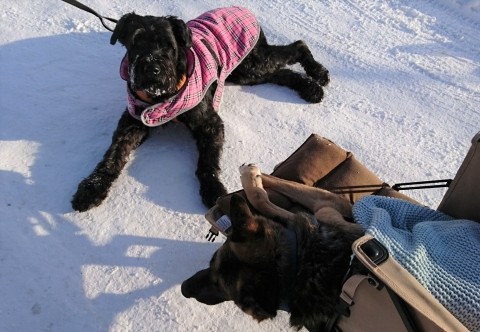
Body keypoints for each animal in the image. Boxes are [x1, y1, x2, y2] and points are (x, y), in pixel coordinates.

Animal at [71, 7, 330, 211]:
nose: (152, 69)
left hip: (254, 63)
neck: (162, 96)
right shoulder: (133, 121)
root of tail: (245, 10)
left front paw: (213, 189)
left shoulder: (209, 123)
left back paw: (317, 75)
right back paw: (310, 88)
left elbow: (207, 162)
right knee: (283, 73)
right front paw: (92, 187)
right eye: (136, 42)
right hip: (246, 72)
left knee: (296, 47)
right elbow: (113, 154)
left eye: (168, 45)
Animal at [181, 165, 364, 330]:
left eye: (219, 286)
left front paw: (251, 175)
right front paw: (254, 175)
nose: (183, 289)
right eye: (212, 262)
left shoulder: (326, 205)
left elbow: (261, 197)